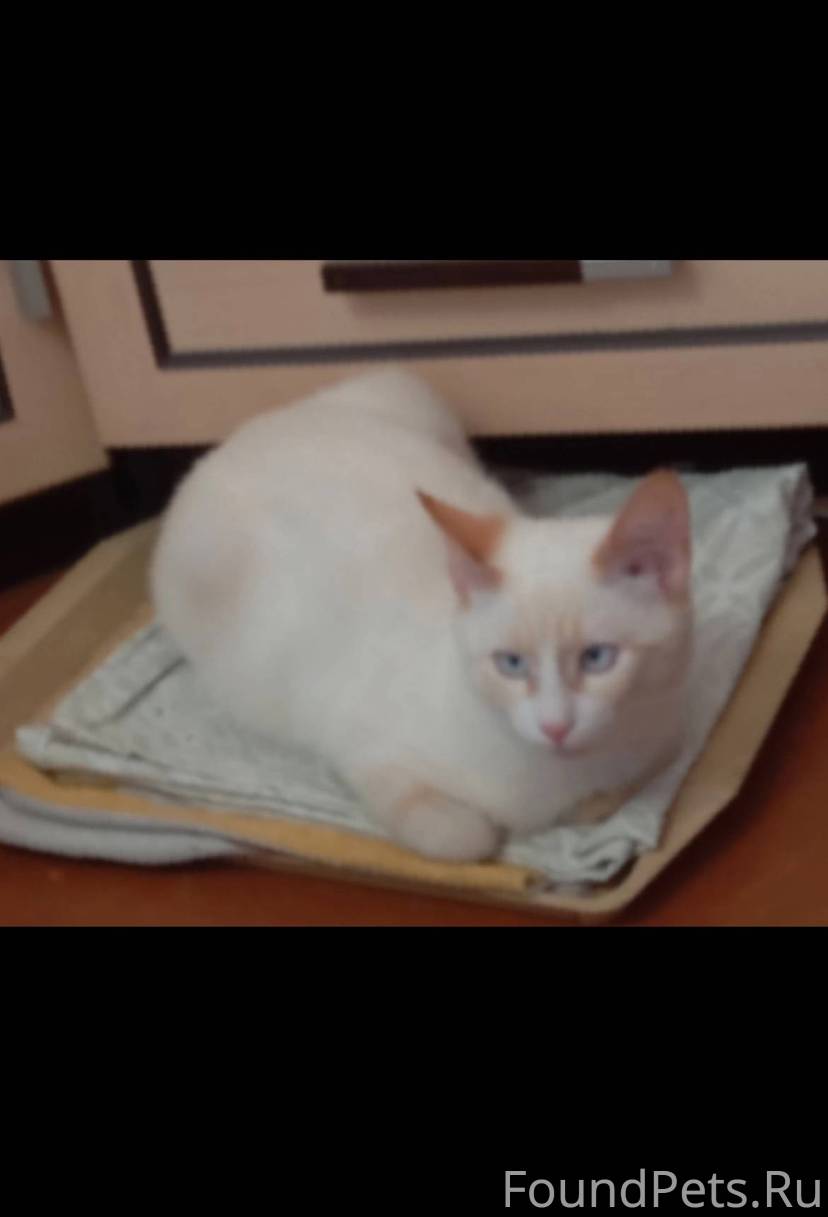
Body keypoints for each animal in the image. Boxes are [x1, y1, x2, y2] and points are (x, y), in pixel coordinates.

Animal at [151, 368, 693, 863]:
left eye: (598, 658)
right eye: (510, 664)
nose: (555, 728)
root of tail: (241, 434)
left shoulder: (662, 739)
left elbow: (608, 797)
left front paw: (586, 804)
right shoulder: (363, 748)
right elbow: (463, 837)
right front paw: (493, 832)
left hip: (412, 394)